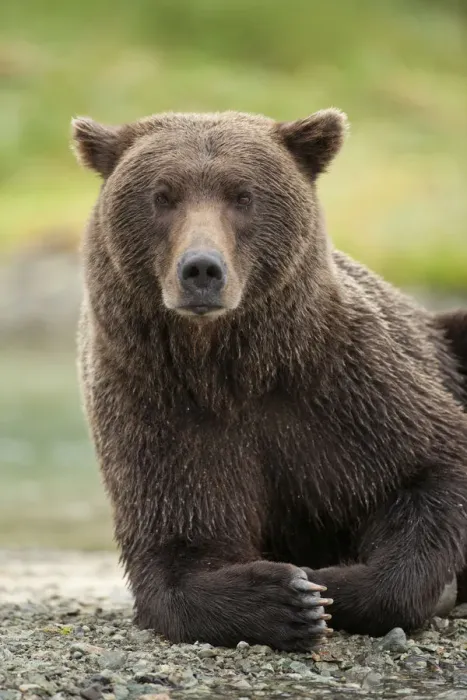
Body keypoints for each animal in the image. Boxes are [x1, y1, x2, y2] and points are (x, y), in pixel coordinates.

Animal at [72, 108, 467, 652]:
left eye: (243, 195)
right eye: (162, 196)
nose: (201, 269)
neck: (233, 368)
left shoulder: (346, 389)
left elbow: (432, 467)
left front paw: (333, 582)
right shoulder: (158, 406)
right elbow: (180, 545)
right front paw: (288, 598)